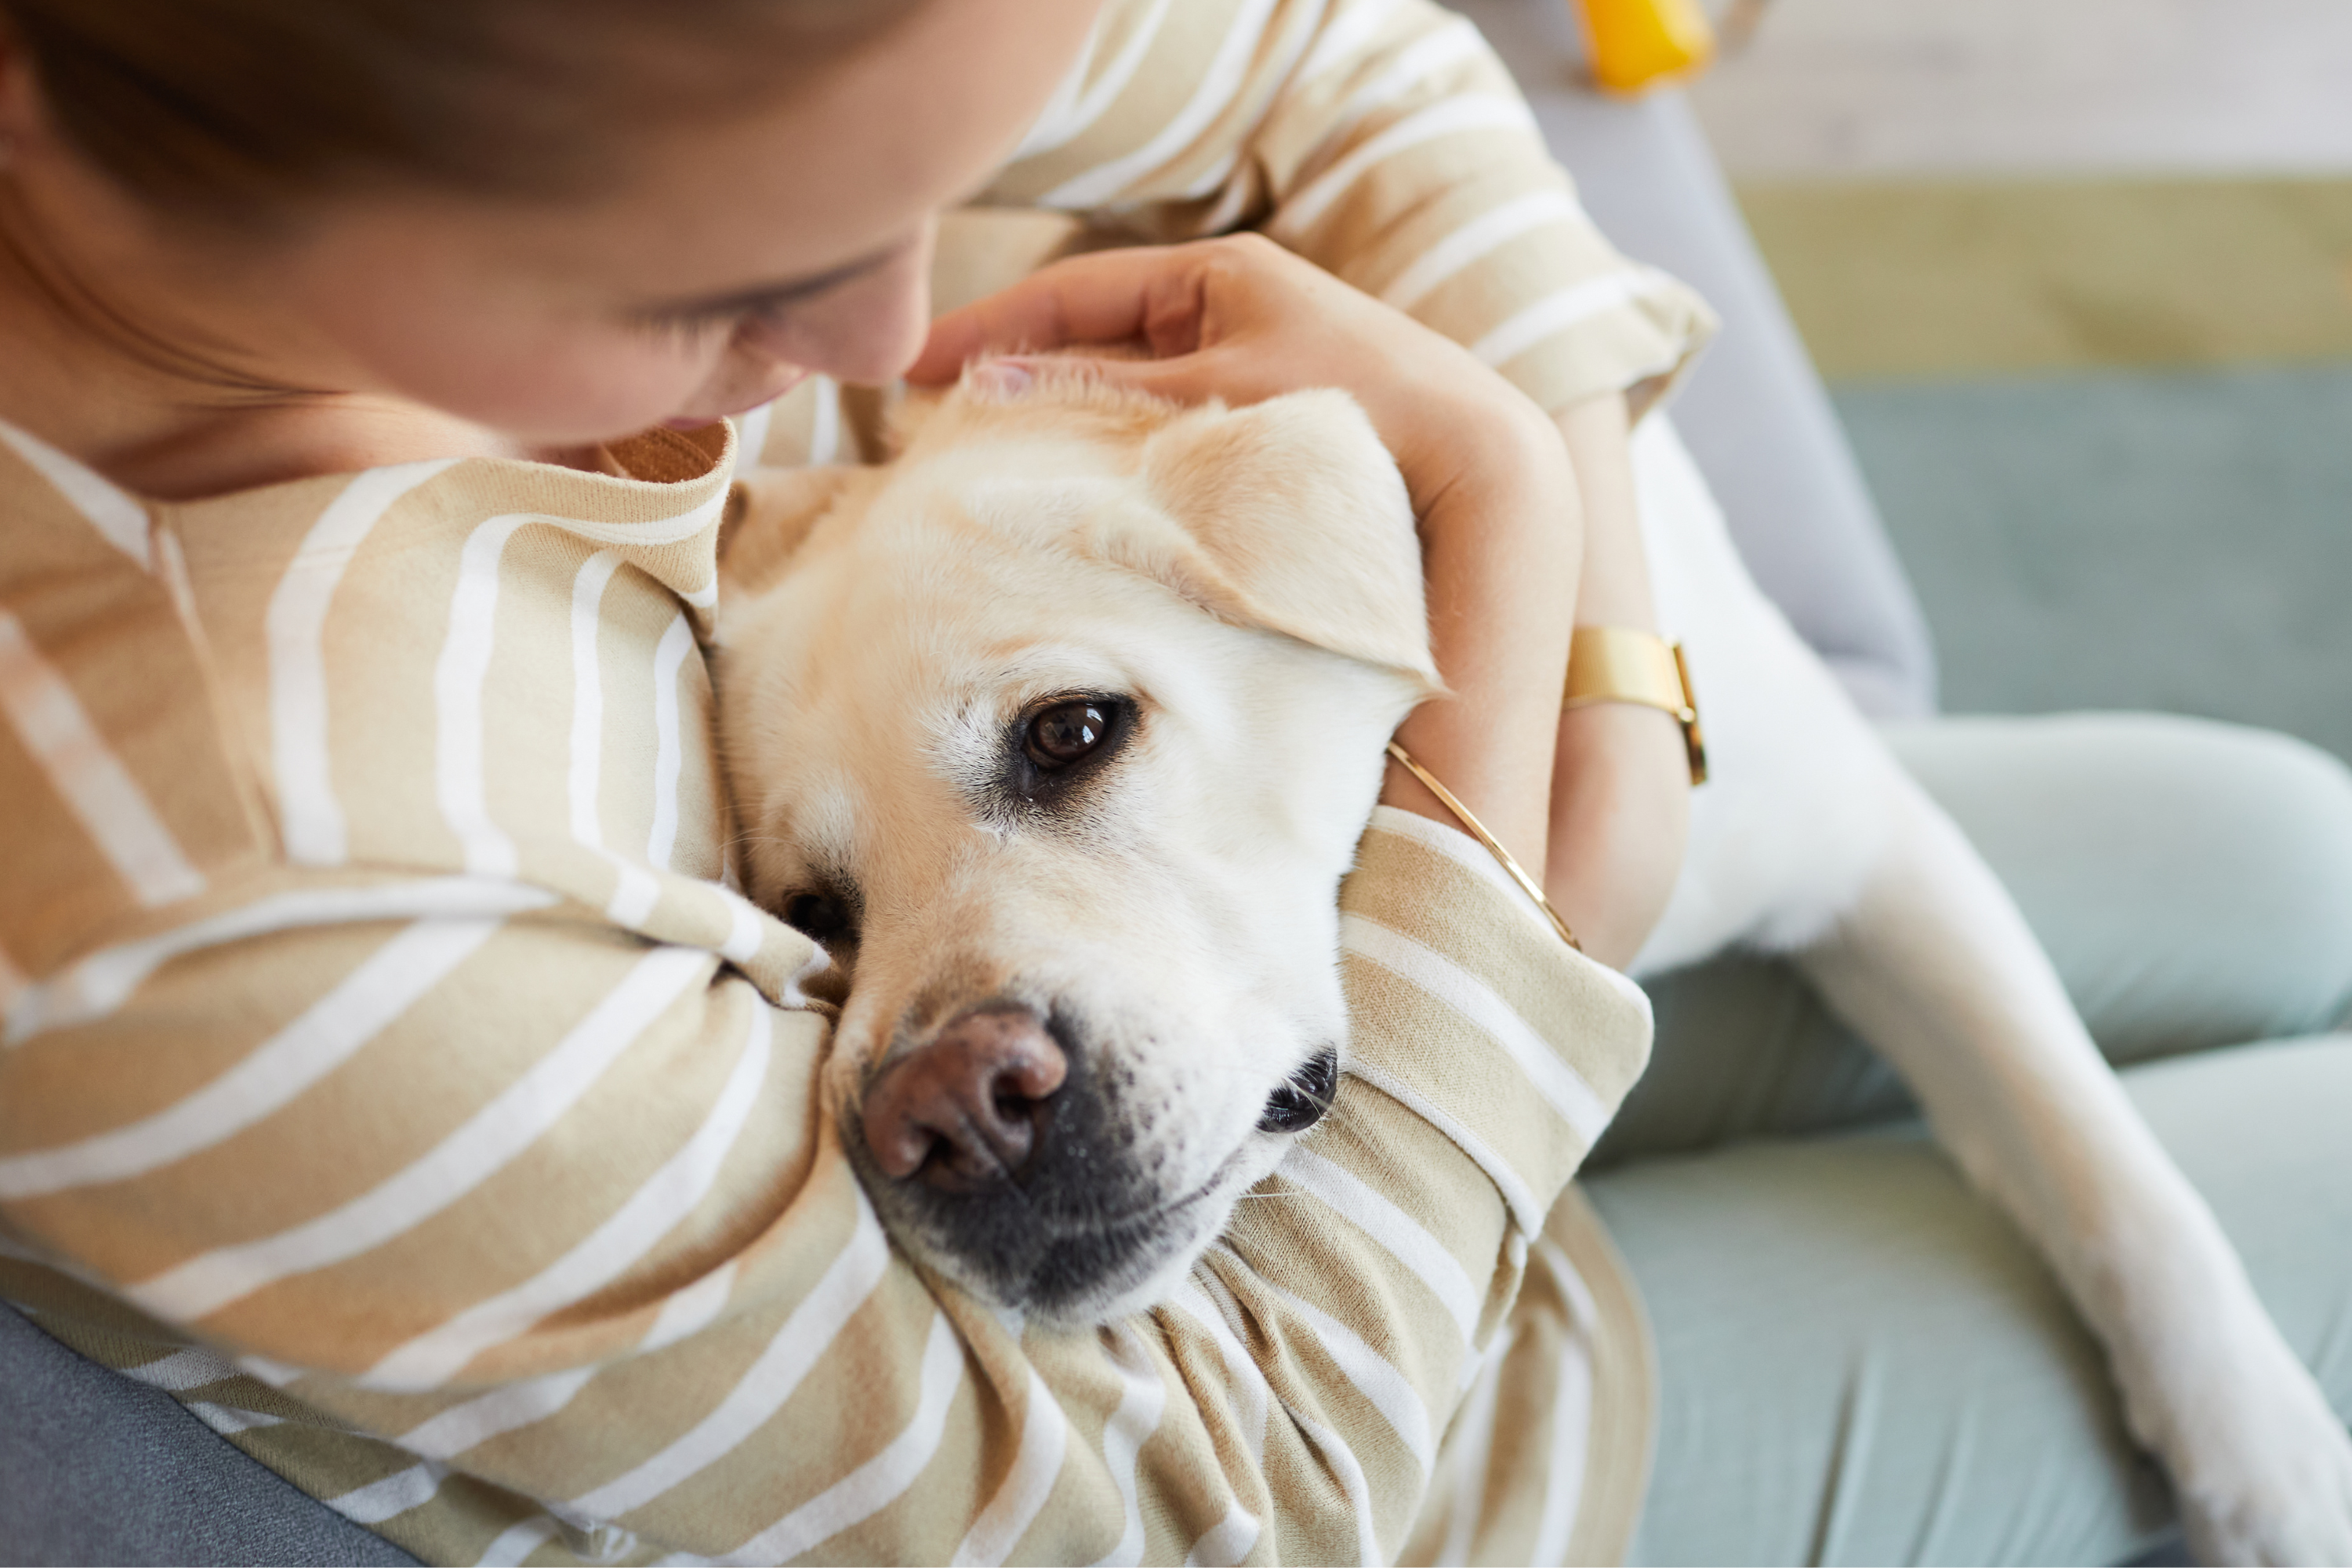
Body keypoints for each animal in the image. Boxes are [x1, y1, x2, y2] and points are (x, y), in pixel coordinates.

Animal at [715, 361, 2352, 1561]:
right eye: (814, 914)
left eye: (1072, 730)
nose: (945, 1114)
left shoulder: (1870, 848)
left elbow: (2100, 1161)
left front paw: (2267, 1461)